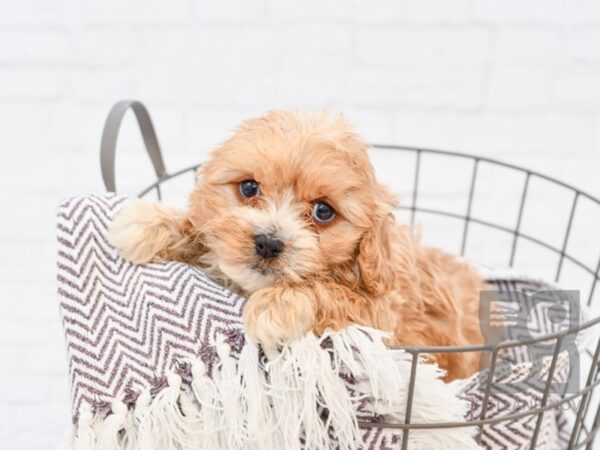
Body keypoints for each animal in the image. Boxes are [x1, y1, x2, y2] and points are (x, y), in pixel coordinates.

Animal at [106, 110, 482, 380]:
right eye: (249, 188)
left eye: (323, 211)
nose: (268, 243)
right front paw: (149, 223)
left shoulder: (383, 317)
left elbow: (330, 293)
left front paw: (276, 305)